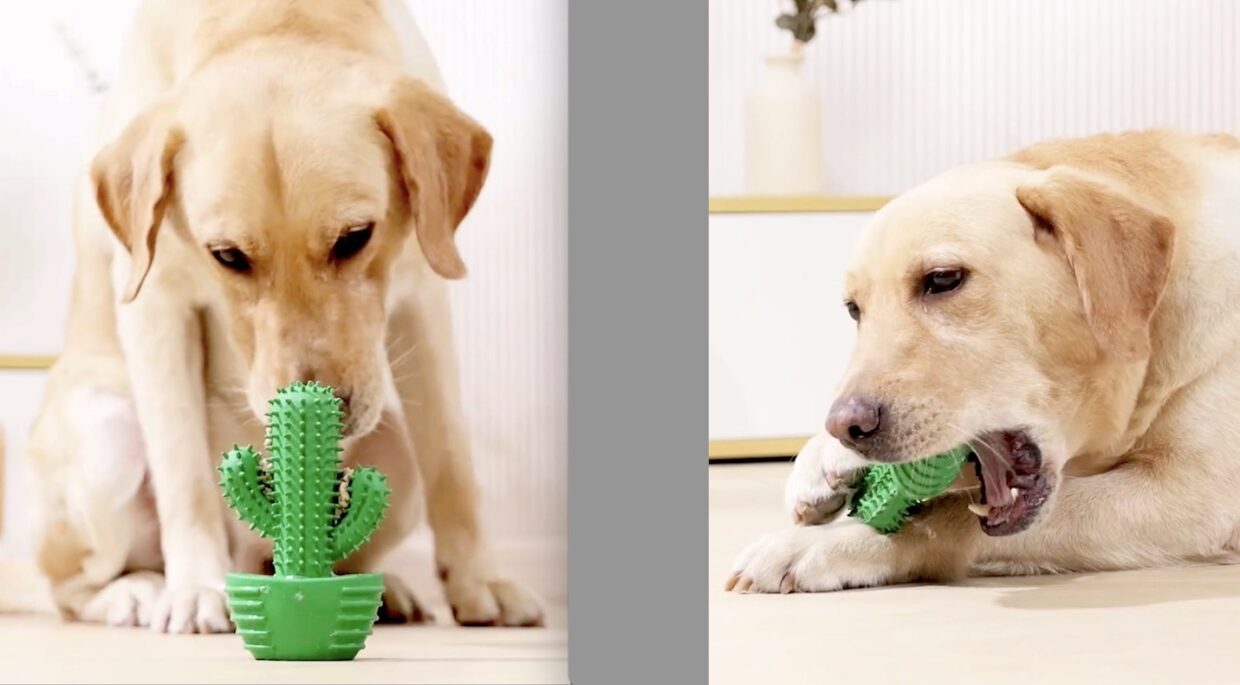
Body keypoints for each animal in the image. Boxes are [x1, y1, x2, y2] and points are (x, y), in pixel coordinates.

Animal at [20, 0, 543, 630]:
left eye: (355, 237)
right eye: (227, 255)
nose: (316, 410)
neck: (268, 18)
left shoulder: (423, 288)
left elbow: (452, 460)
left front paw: (480, 581)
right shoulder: (155, 303)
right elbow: (183, 475)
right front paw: (196, 589)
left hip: (393, 452)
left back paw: (380, 591)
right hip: (106, 431)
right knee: (73, 586)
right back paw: (138, 592)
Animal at [724, 128, 1240, 593]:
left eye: (943, 279)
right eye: (854, 309)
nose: (847, 427)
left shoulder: (1192, 496)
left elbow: (947, 514)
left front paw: (826, 543)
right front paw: (823, 458)